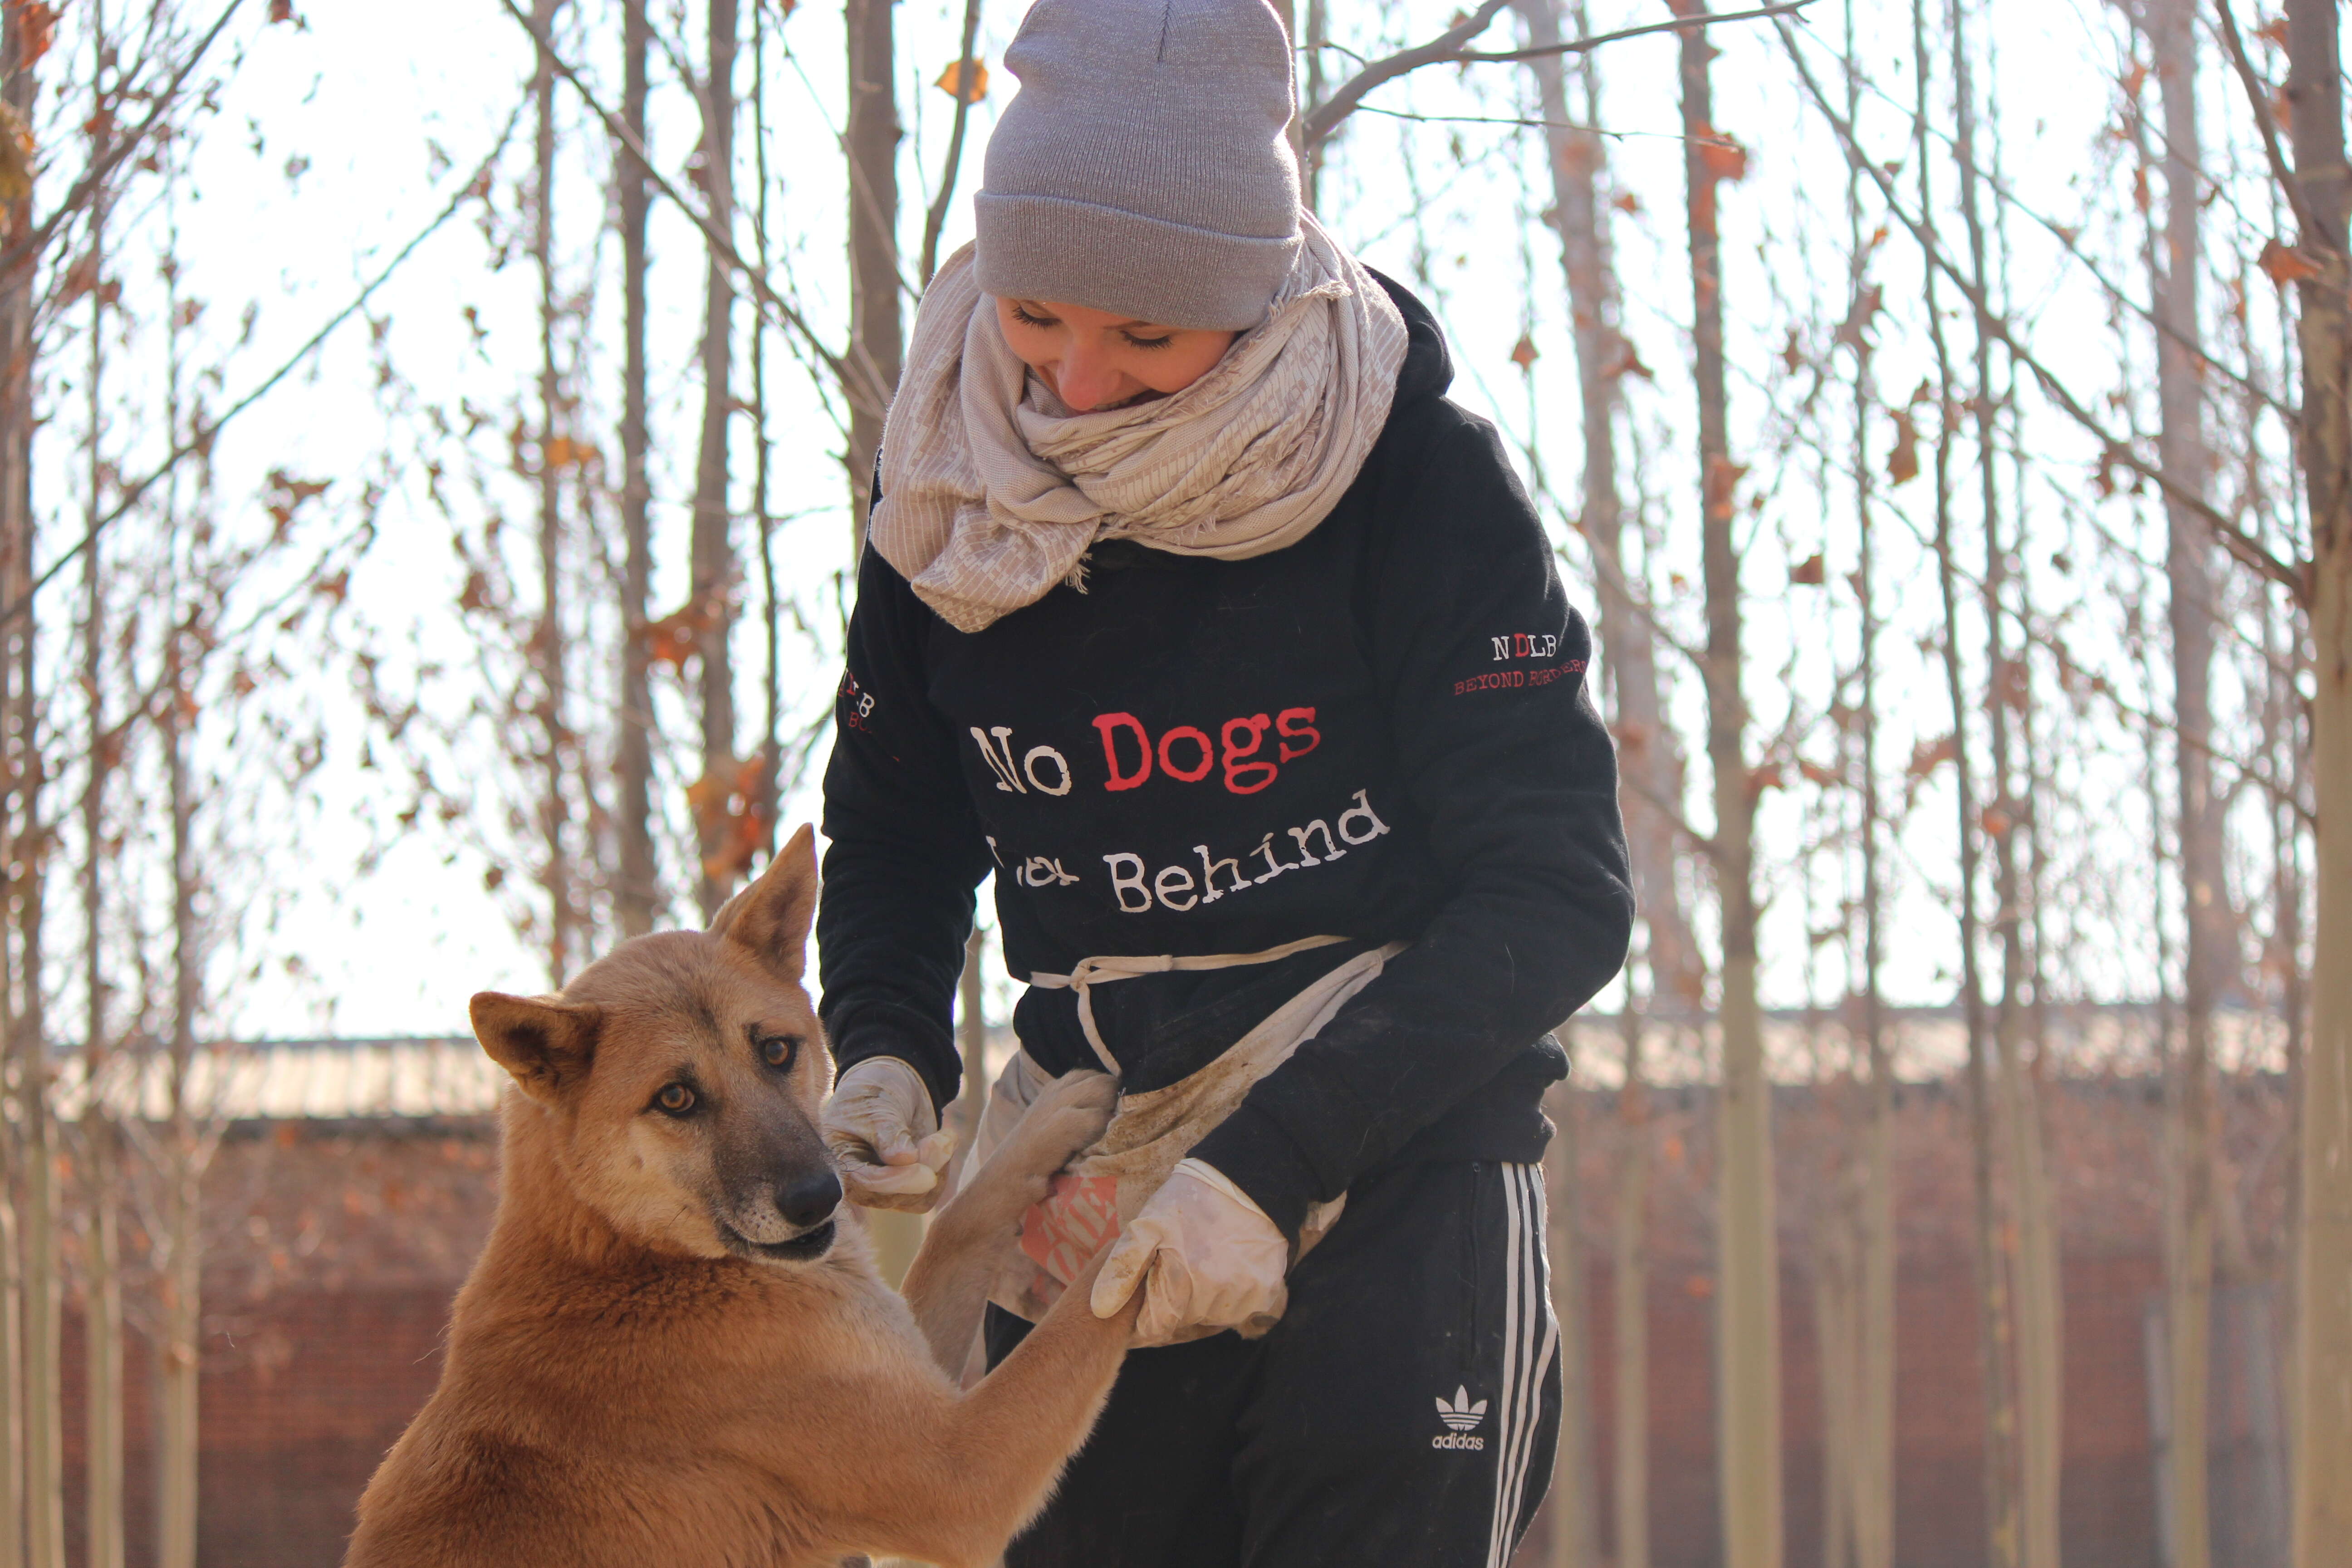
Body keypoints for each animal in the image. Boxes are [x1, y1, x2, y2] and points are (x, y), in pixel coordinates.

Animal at [346, 827, 1138, 1561]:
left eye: (777, 1050)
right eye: (675, 1098)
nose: (818, 1198)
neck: (627, 1259)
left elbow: (962, 1222)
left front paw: (1049, 1123)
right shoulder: (961, 1466)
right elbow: (1094, 1301)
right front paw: (1170, 1209)